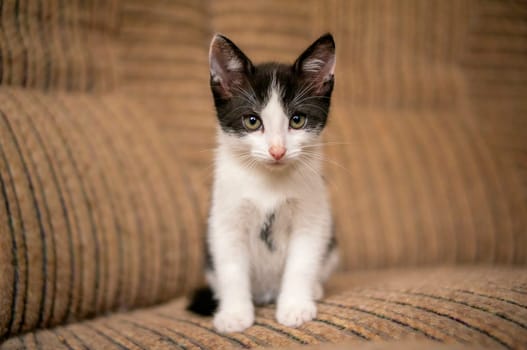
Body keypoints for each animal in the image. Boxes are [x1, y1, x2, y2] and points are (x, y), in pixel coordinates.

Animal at [188, 34, 340, 332]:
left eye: (297, 120)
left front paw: (295, 307)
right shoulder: (225, 217)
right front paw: (234, 314)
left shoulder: (313, 214)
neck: (269, 181)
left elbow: (302, 261)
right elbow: (231, 267)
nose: (277, 151)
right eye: (251, 121)